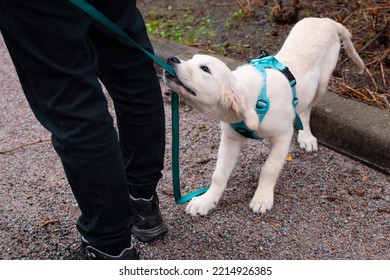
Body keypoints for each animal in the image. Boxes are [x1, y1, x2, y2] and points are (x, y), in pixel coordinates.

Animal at [163, 16, 364, 215]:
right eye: (191, 59)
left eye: (205, 69)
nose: (171, 59)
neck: (255, 101)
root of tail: (324, 19)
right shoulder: (230, 139)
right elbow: (218, 174)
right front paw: (206, 200)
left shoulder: (283, 136)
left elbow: (269, 169)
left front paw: (262, 198)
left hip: (322, 82)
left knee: (307, 109)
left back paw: (306, 136)